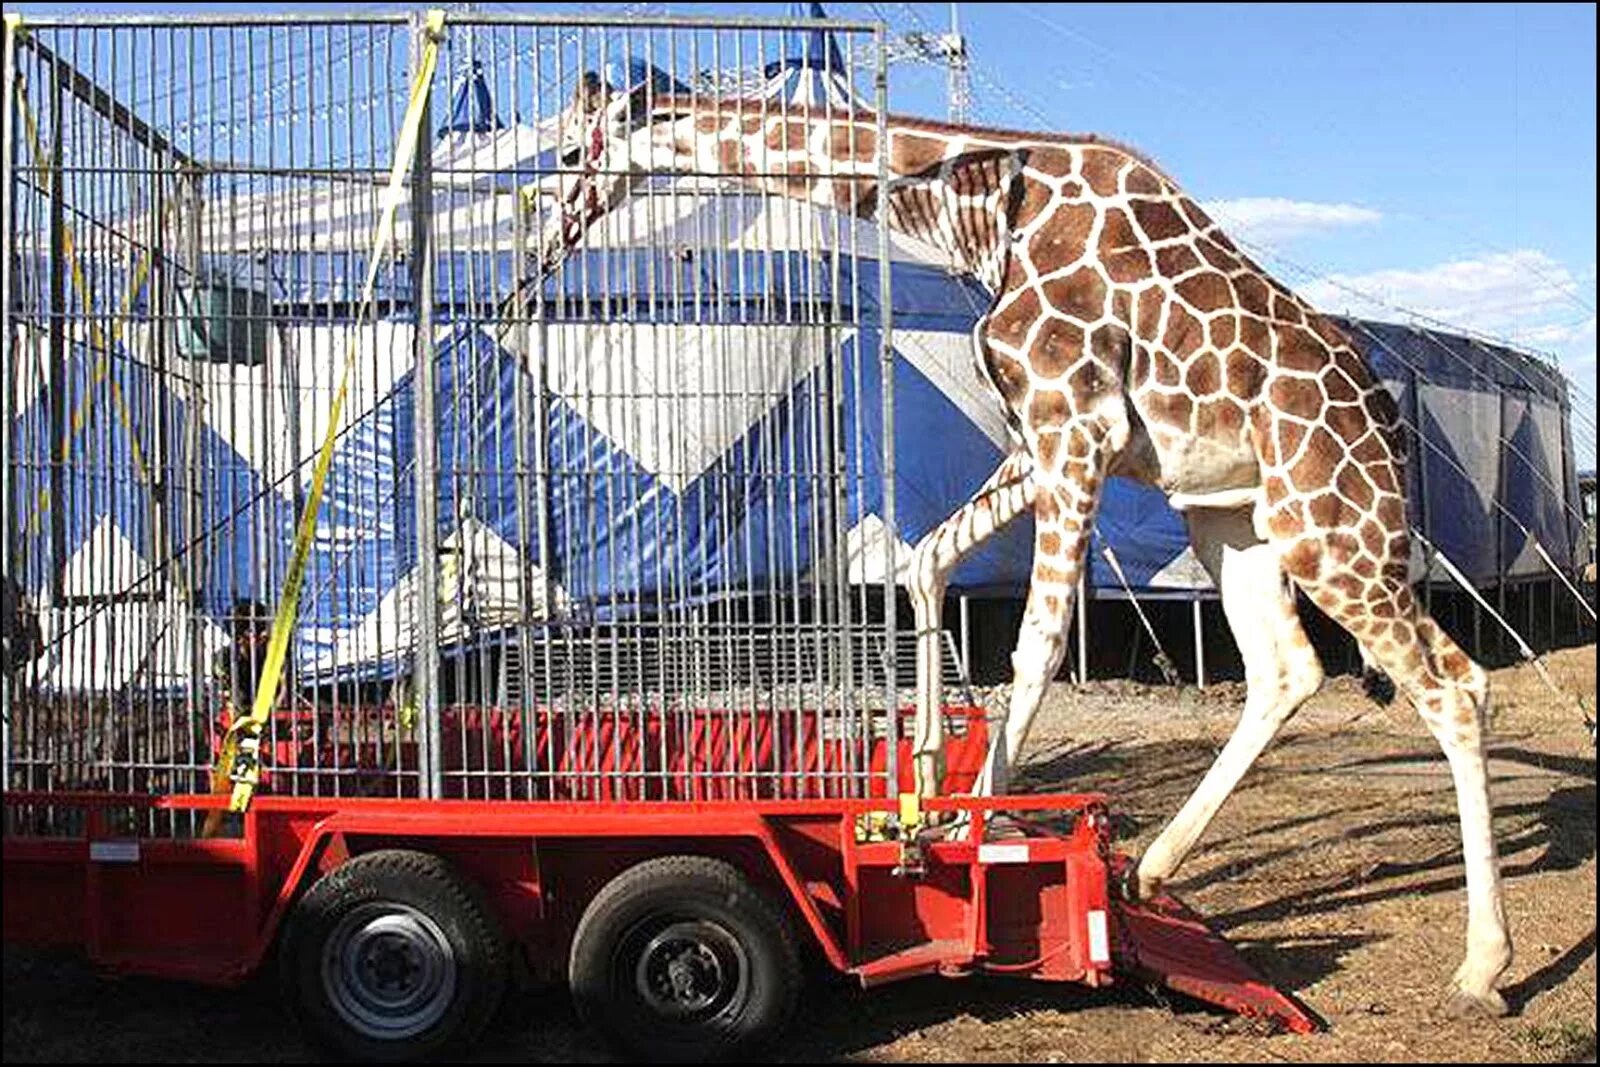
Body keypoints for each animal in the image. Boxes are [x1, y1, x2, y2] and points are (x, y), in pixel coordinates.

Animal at [534, 66, 1510, 1017]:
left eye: (571, 155)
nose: (540, 246)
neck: (979, 214)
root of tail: (1389, 419)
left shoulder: (1075, 428)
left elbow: (1036, 643)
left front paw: (972, 830)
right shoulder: (1033, 441)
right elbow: (925, 562)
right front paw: (923, 795)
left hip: (1333, 525)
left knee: (1453, 686)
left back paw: (1482, 967)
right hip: (1236, 520)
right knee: (1292, 668)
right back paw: (1151, 867)